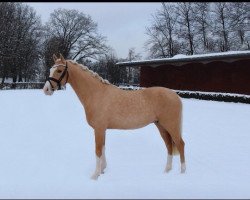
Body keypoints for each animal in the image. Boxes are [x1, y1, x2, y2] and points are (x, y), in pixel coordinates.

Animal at [43, 53, 186, 180]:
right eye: (51, 69)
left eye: (59, 70)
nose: (46, 90)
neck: (97, 94)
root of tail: (175, 95)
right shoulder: (102, 130)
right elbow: (103, 148)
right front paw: (102, 170)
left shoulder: (99, 129)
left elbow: (98, 151)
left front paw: (95, 176)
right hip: (161, 126)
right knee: (169, 146)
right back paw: (167, 170)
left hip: (171, 126)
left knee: (180, 144)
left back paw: (183, 172)